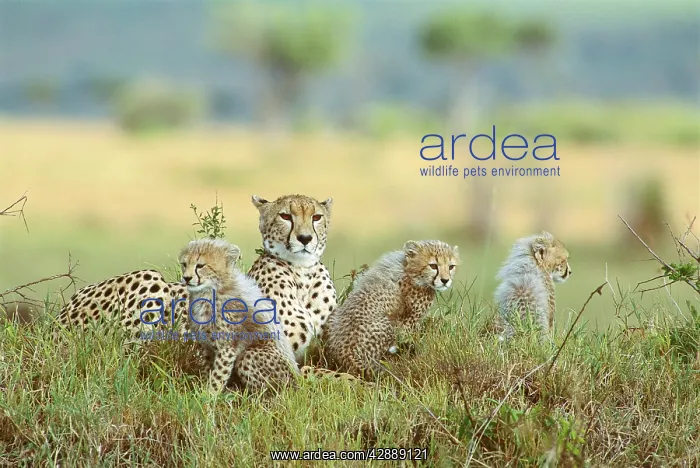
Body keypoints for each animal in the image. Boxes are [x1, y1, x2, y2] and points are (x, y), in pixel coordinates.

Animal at [178, 237, 298, 393]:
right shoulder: (208, 346)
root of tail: (298, 383)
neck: (209, 291)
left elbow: (218, 376)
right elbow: (208, 370)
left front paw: (209, 395)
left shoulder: (227, 347)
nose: (186, 278)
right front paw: (203, 389)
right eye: (184, 264)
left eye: (200, 265)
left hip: (251, 356)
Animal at [323, 239, 460, 378]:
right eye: (433, 266)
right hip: (387, 325)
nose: (445, 280)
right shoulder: (407, 321)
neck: (409, 271)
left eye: (451, 266)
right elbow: (407, 338)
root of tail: (346, 356)